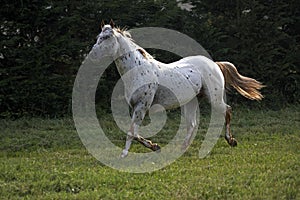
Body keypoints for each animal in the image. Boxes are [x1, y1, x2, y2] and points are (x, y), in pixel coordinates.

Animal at [91, 20, 262, 158]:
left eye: (107, 37)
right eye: (98, 37)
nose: (92, 55)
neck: (138, 70)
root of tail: (214, 64)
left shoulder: (142, 106)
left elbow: (131, 132)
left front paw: (124, 154)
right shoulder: (136, 107)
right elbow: (135, 132)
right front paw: (154, 146)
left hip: (214, 99)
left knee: (227, 110)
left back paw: (231, 141)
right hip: (191, 102)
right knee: (192, 124)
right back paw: (182, 148)